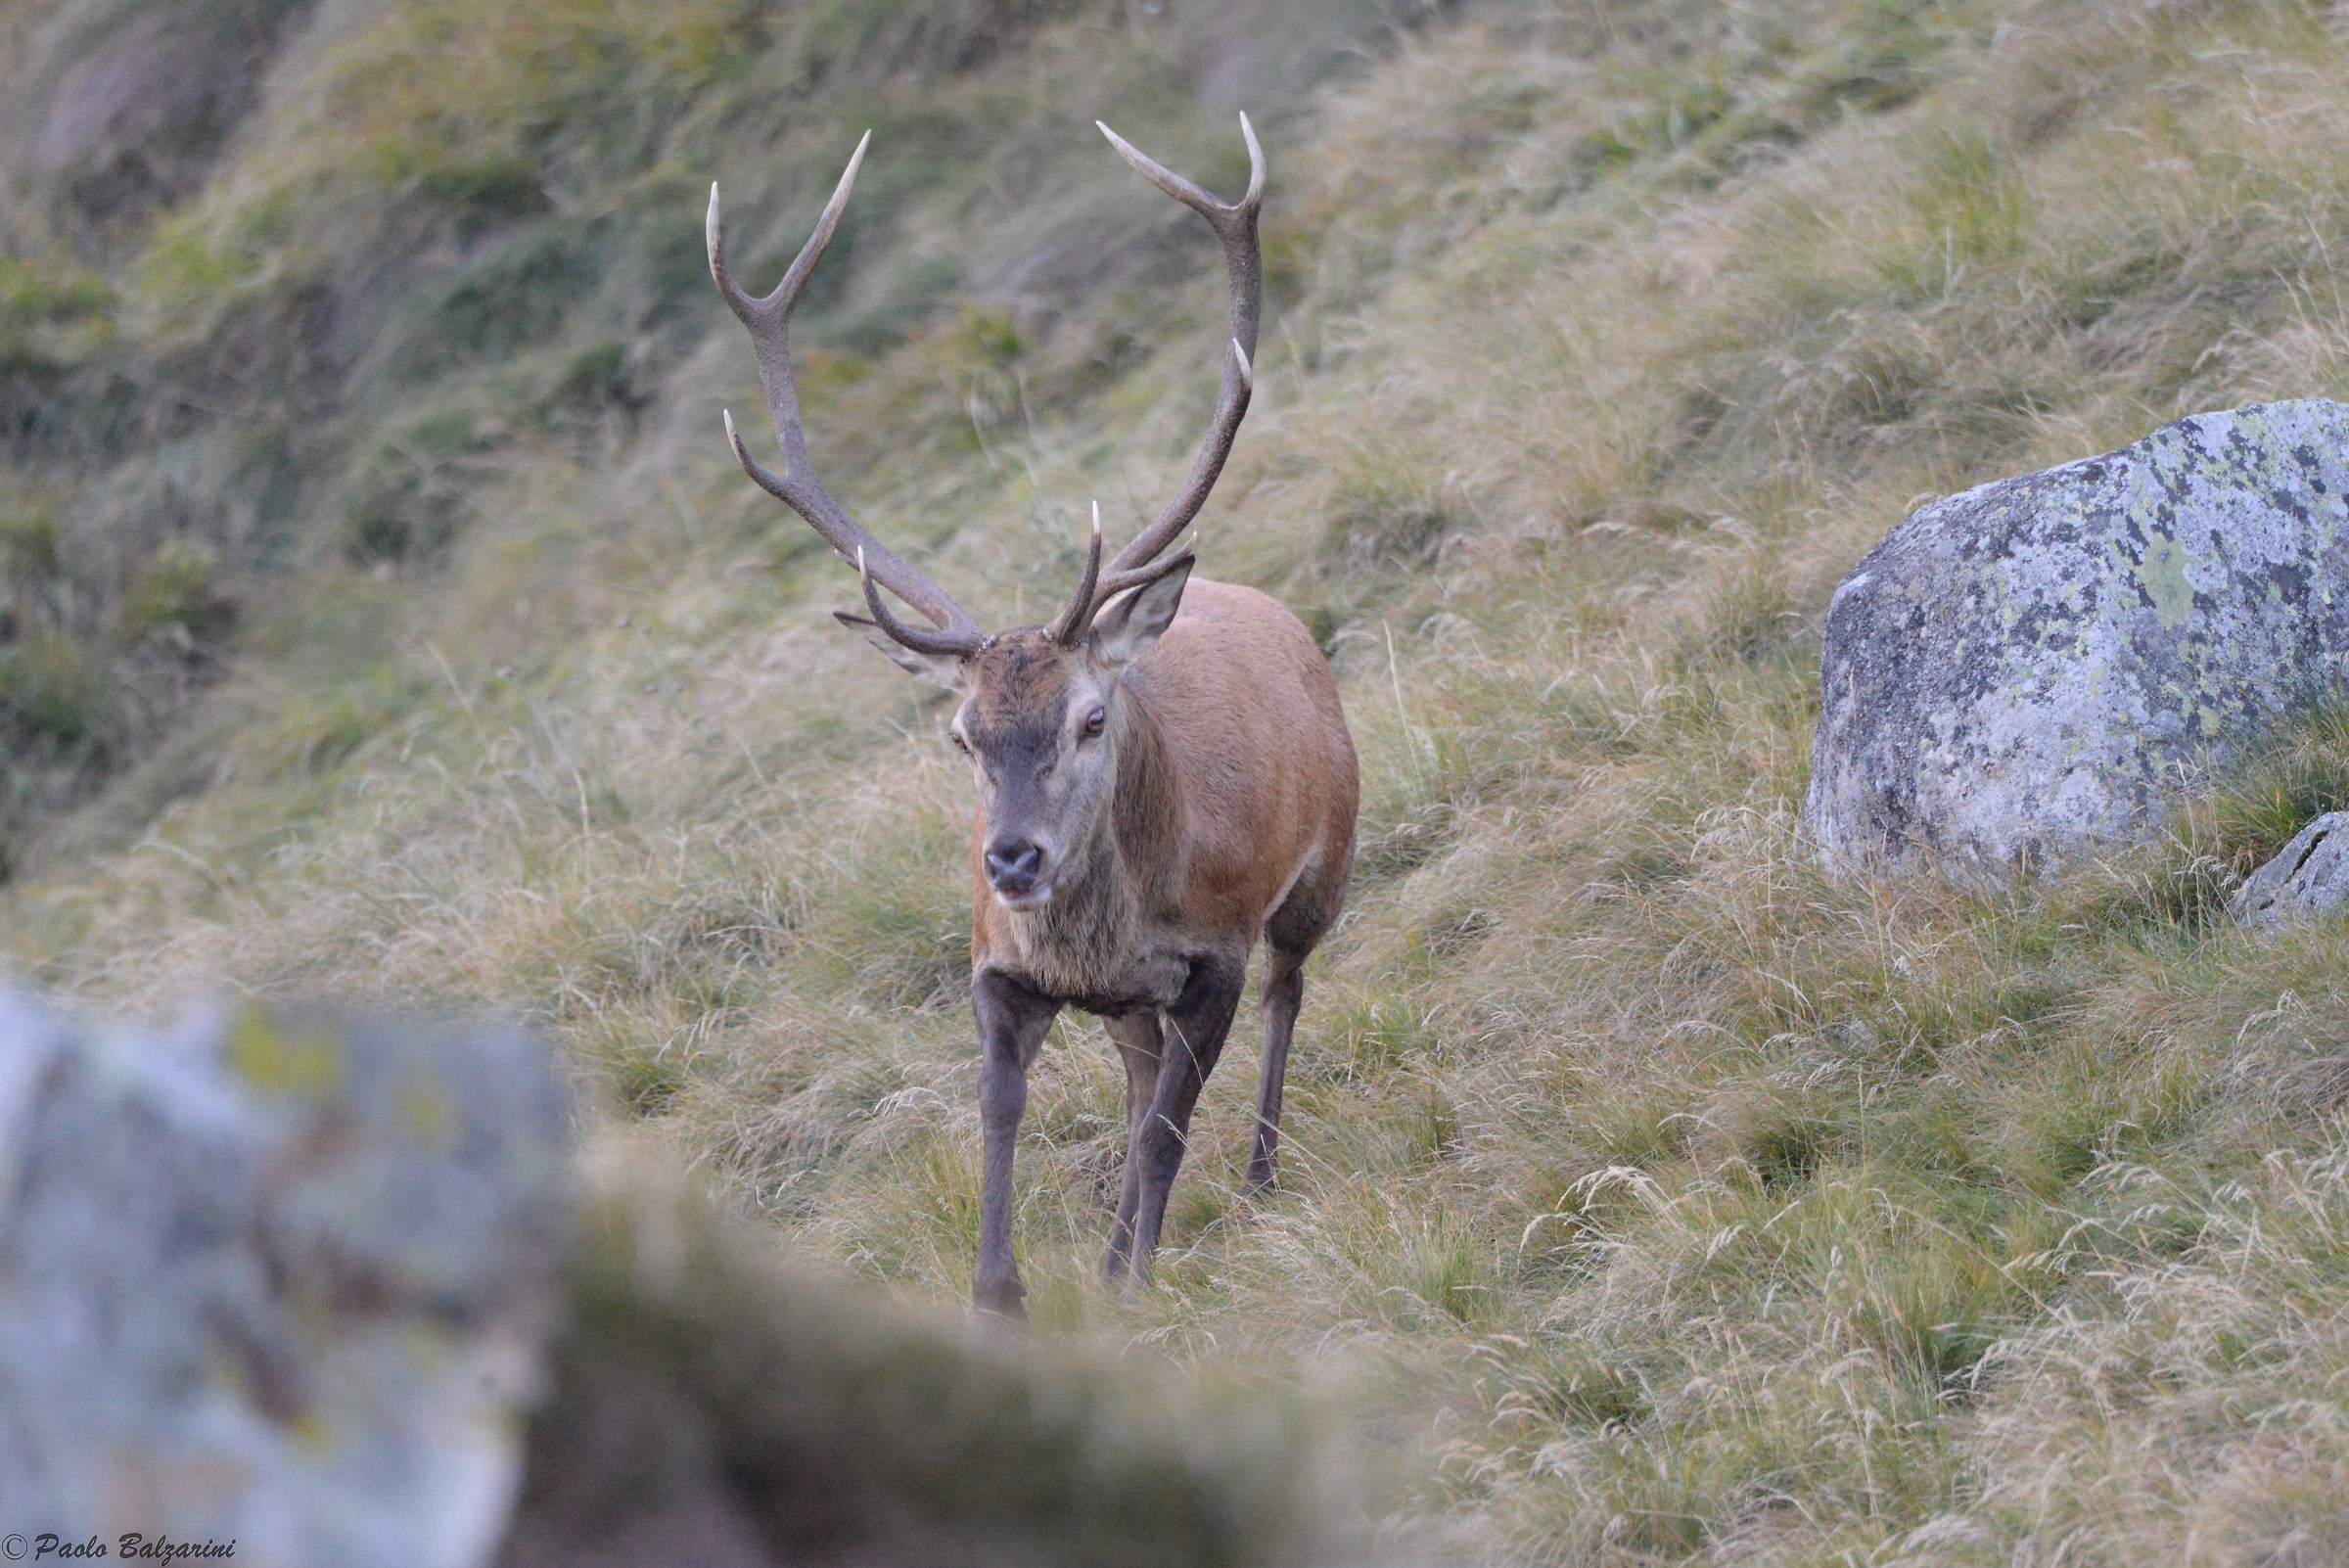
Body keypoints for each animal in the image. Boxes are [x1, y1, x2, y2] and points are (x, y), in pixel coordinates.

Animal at [707, 116, 1358, 1319]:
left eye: (1092, 719)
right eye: (963, 736)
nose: (1012, 859)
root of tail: (1277, 614)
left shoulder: (1215, 947)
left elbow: (1166, 1132)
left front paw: (1133, 1289)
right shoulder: (998, 967)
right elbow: (1005, 1112)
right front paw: (1006, 1294)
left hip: (1322, 867)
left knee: (1287, 995)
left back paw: (1256, 1175)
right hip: (1135, 1000)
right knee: (1144, 1071)